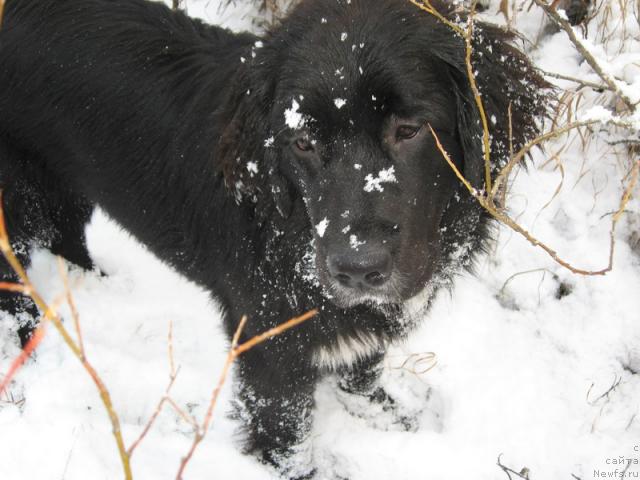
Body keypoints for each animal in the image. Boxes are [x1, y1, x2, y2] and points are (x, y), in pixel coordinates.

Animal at [0, 0, 548, 476]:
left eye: (410, 130)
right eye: (303, 142)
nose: (357, 268)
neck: (294, 233)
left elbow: (363, 365)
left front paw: (381, 415)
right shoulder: (268, 343)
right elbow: (283, 429)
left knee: (67, 236)